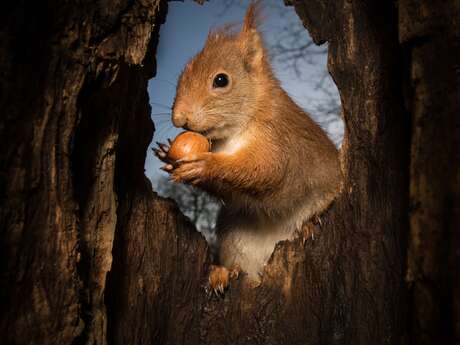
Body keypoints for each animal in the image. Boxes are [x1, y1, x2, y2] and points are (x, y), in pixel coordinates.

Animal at [155, 2, 342, 292]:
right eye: (182, 75)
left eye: (221, 80)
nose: (179, 118)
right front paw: (167, 155)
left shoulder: (279, 139)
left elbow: (266, 171)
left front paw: (205, 165)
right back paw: (223, 273)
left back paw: (309, 226)